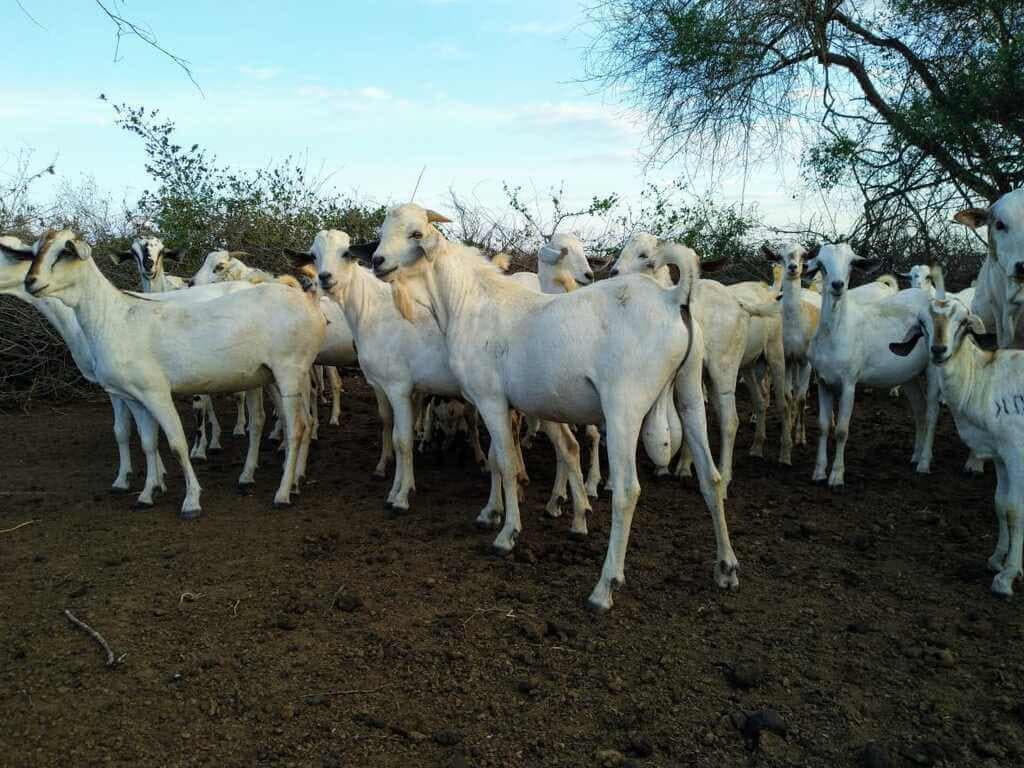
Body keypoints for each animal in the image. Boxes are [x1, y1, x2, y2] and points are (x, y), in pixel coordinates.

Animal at [7, 229, 324, 516]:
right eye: (33, 252)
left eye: (65, 251)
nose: (31, 282)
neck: (115, 317)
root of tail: (307, 300)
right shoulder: (133, 396)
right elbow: (147, 442)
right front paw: (147, 493)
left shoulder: (156, 392)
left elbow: (177, 444)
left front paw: (191, 501)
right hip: (271, 375)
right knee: (294, 422)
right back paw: (288, 480)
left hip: (291, 369)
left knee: (297, 427)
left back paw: (282, 494)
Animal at [370, 204, 736, 611]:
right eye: (384, 230)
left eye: (416, 234)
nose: (377, 261)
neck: (471, 302)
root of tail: (674, 298)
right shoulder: (501, 405)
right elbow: (498, 459)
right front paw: (491, 513)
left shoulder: (490, 399)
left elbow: (507, 464)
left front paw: (507, 534)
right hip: (690, 393)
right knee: (711, 478)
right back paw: (725, 567)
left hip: (624, 408)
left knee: (627, 492)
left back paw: (604, 587)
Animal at [806, 243, 938, 486]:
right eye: (821, 264)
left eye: (851, 263)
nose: (837, 285)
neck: (836, 332)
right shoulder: (822, 380)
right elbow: (822, 427)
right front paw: (818, 473)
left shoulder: (849, 381)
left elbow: (841, 430)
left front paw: (837, 476)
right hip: (908, 373)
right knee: (920, 408)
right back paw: (915, 456)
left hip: (935, 366)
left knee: (932, 411)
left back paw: (924, 463)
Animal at [889, 266, 1020, 595]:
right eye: (922, 324)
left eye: (963, 322)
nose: (938, 350)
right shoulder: (1002, 454)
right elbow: (1002, 504)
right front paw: (998, 561)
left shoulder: (1017, 453)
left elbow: (1016, 509)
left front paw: (1006, 578)